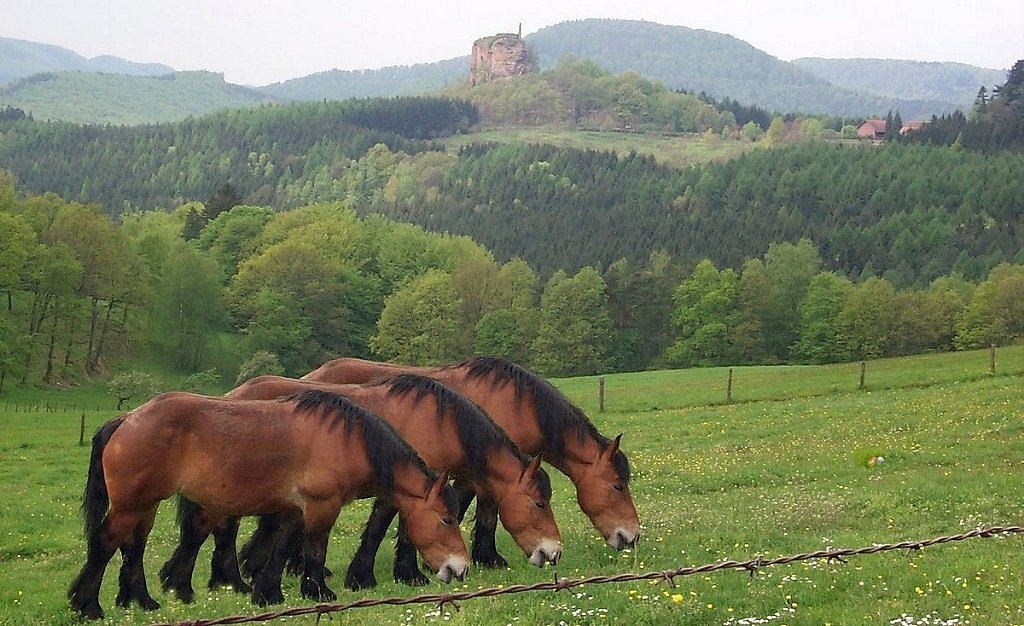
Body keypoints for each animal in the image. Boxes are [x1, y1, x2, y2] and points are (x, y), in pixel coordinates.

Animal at [70, 389, 468, 618]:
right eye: (447, 519)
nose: (460, 568)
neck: (349, 440)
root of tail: (127, 419)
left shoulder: (295, 508)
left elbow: (283, 547)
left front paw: (267, 593)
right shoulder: (322, 506)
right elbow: (315, 549)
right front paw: (317, 591)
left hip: (145, 505)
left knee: (133, 547)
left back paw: (142, 601)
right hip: (130, 505)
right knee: (105, 545)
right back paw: (88, 605)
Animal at [168, 374, 565, 594]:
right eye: (540, 503)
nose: (553, 553)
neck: (441, 421)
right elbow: (388, 528)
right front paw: (384, 576)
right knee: (216, 526)